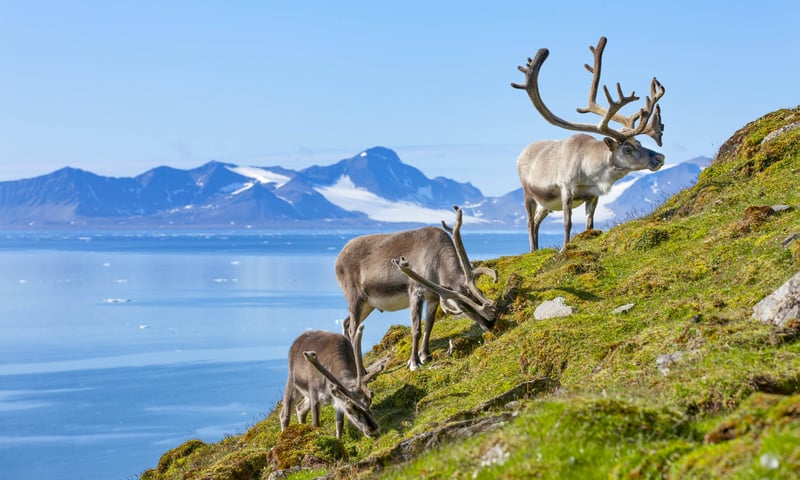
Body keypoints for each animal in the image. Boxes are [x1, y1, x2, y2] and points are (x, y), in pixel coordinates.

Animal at [335, 205, 497, 374]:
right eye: (463, 307)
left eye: (479, 294)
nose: (490, 323)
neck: (437, 263)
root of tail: (338, 260)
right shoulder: (416, 292)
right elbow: (416, 329)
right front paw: (414, 362)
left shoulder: (434, 296)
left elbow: (429, 325)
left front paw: (425, 355)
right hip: (355, 298)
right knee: (353, 330)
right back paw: (361, 371)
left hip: (369, 304)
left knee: (346, 323)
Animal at [511, 36, 666, 252]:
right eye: (627, 148)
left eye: (639, 141)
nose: (660, 157)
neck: (591, 170)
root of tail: (522, 153)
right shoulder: (566, 189)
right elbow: (567, 223)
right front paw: (564, 249)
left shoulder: (593, 195)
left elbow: (589, 225)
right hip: (529, 194)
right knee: (529, 221)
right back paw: (533, 251)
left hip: (546, 204)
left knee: (536, 221)